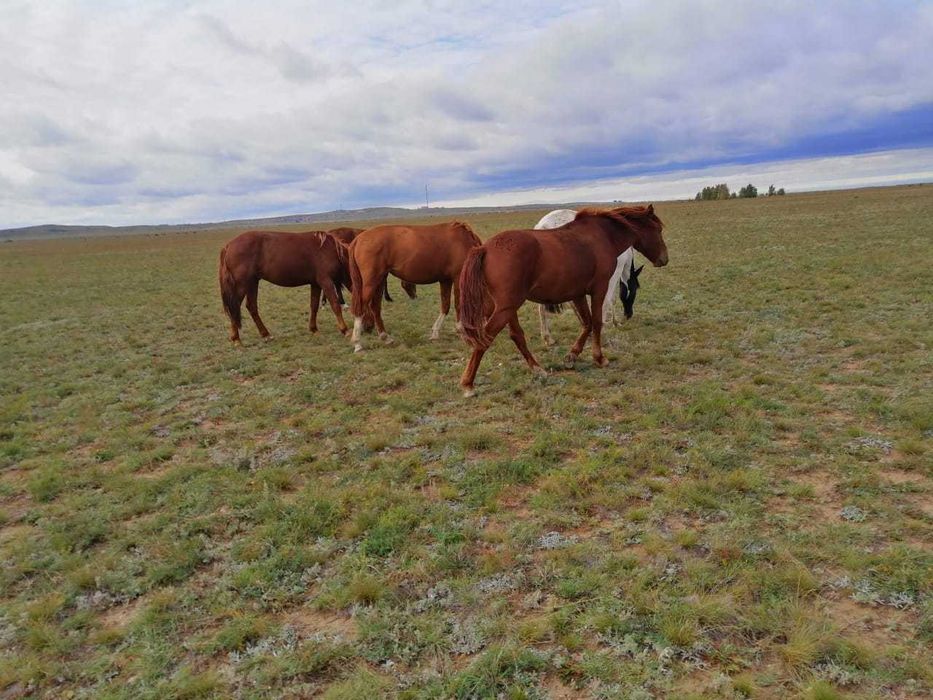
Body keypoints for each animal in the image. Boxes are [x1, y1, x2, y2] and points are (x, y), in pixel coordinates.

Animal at [218, 230, 352, 344]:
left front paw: (314, 329)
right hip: (242, 284)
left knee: (251, 307)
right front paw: (345, 329)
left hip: (252, 283)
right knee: (235, 307)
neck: (330, 250)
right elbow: (335, 304)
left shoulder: (315, 284)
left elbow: (314, 306)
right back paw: (236, 338)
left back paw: (265, 334)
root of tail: (228, 246)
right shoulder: (325, 281)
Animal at [348, 222, 482, 352]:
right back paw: (357, 343)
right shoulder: (457, 277)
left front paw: (435, 333)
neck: (464, 241)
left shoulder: (445, 280)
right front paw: (461, 330)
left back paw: (385, 338)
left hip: (380, 281)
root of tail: (359, 239)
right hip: (371, 282)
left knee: (375, 307)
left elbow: (445, 306)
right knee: (361, 308)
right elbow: (459, 305)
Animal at [534, 209, 644, 346]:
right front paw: (612, 323)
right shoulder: (613, 275)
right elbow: (610, 299)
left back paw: (548, 337)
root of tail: (542, 226)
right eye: (635, 289)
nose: (629, 314)